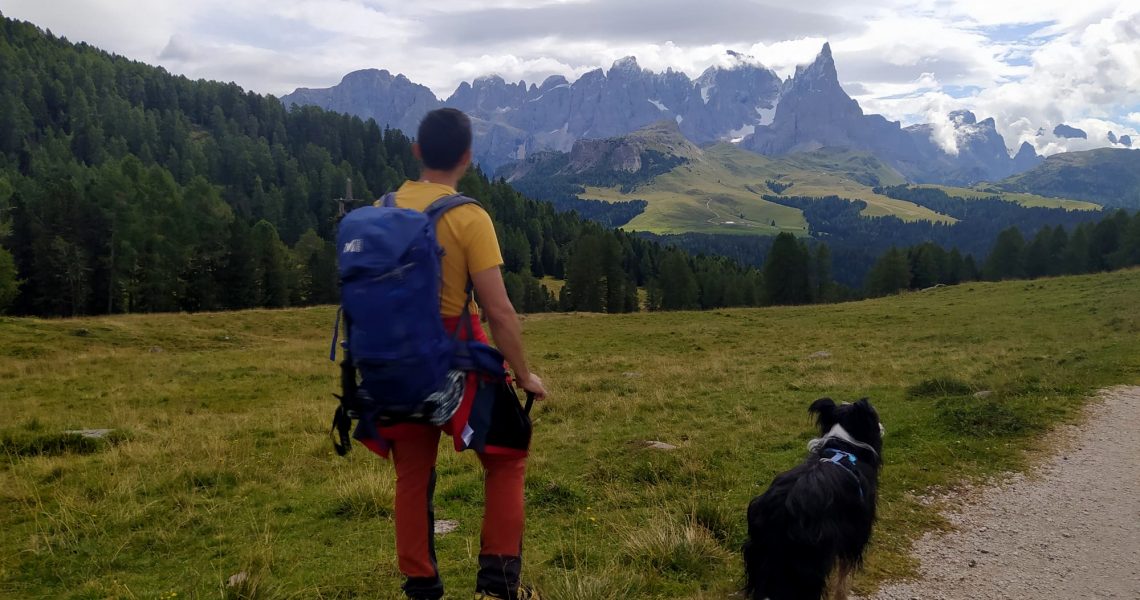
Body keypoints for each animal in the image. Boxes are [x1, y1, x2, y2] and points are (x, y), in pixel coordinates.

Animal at [743, 399, 884, 600]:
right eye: (874, 415)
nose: (882, 426)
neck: (843, 445)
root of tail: (779, 509)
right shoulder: (855, 530)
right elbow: (844, 573)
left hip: (762, 558)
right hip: (806, 565)